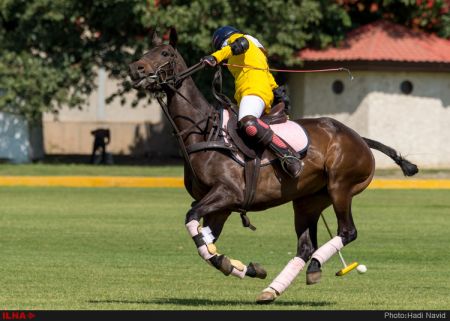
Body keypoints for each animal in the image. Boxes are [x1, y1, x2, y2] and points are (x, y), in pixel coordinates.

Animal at [127, 28, 418, 302]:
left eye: (165, 53)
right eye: (146, 51)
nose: (134, 69)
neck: (204, 130)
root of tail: (360, 138)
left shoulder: (226, 193)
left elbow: (192, 220)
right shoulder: (222, 206)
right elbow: (205, 242)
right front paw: (241, 267)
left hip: (341, 187)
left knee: (348, 231)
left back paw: (312, 265)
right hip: (308, 200)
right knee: (305, 246)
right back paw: (274, 289)